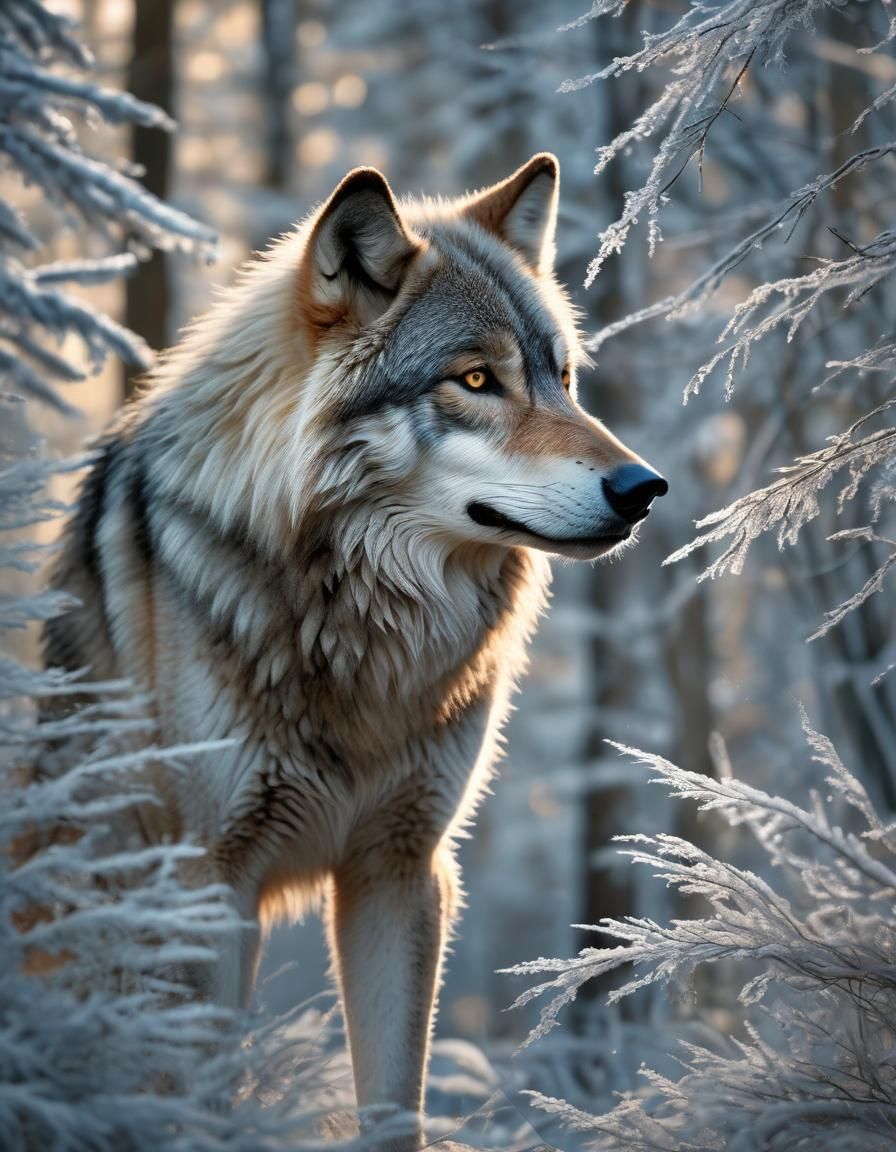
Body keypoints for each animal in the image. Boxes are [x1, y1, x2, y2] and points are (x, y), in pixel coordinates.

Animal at [44, 154, 666, 1137]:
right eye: (476, 380)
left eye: (563, 378)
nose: (645, 488)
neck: (359, 625)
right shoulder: (212, 884)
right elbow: (208, 1103)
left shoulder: (401, 869)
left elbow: (394, 1106)